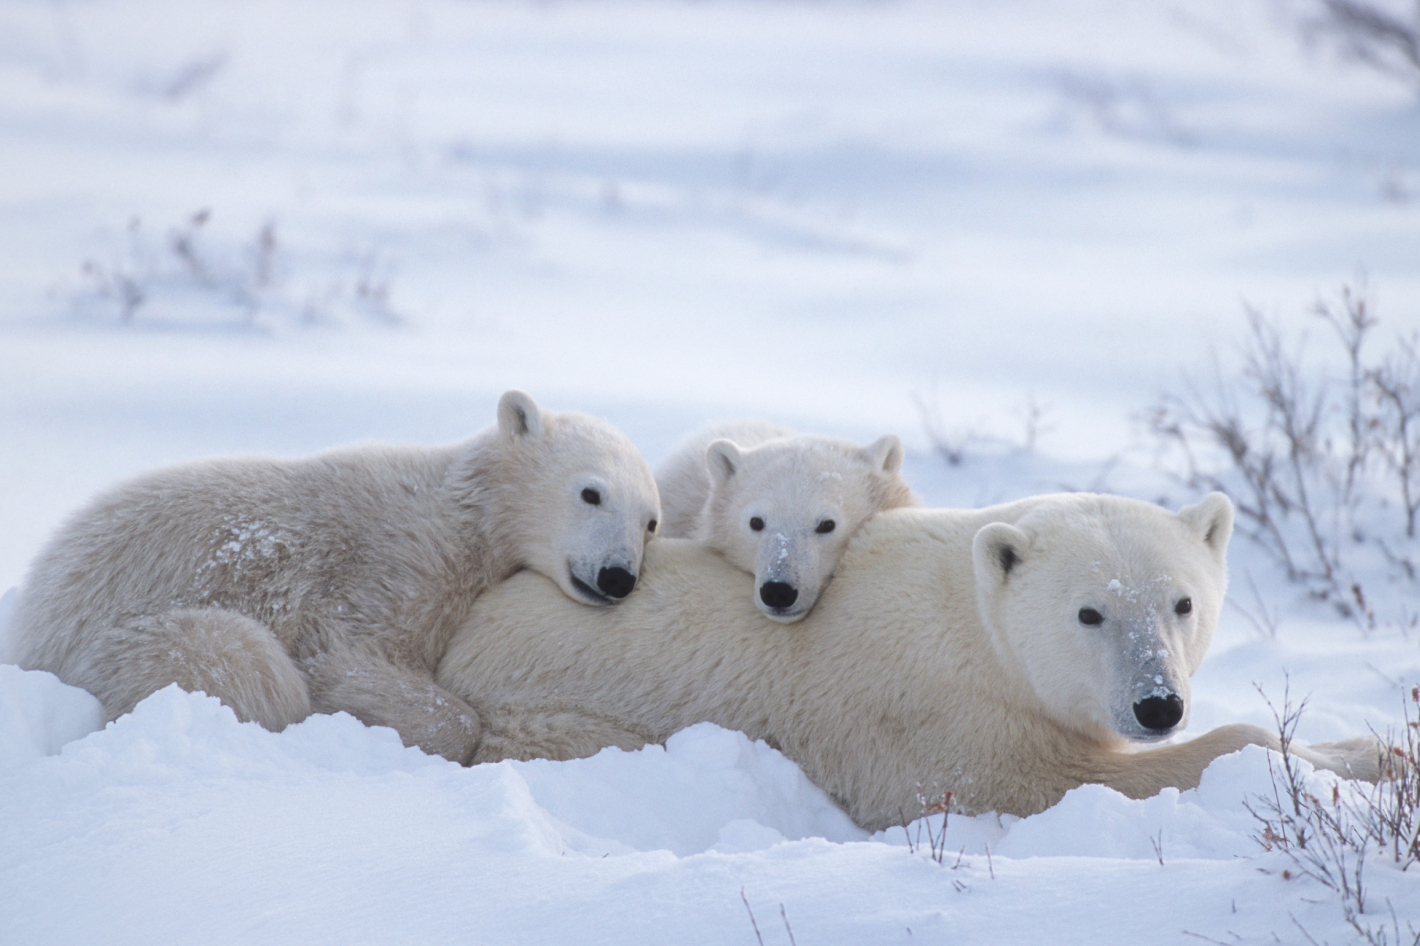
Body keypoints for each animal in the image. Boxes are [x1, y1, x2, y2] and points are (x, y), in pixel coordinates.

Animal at [10, 390, 661, 764]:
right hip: (120, 638)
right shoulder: (392, 563)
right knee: (238, 662)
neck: (465, 512)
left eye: (651, 522)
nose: (617, 576)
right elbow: (343, 656)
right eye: (591, 492)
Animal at [435, 492, 1385, 828]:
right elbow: (1056, 781)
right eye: (1090, 612)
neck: (972, 623)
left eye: (1182, 603)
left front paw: (1372, 747)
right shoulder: (941, 720)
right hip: (548, 716)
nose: (1159, 706)